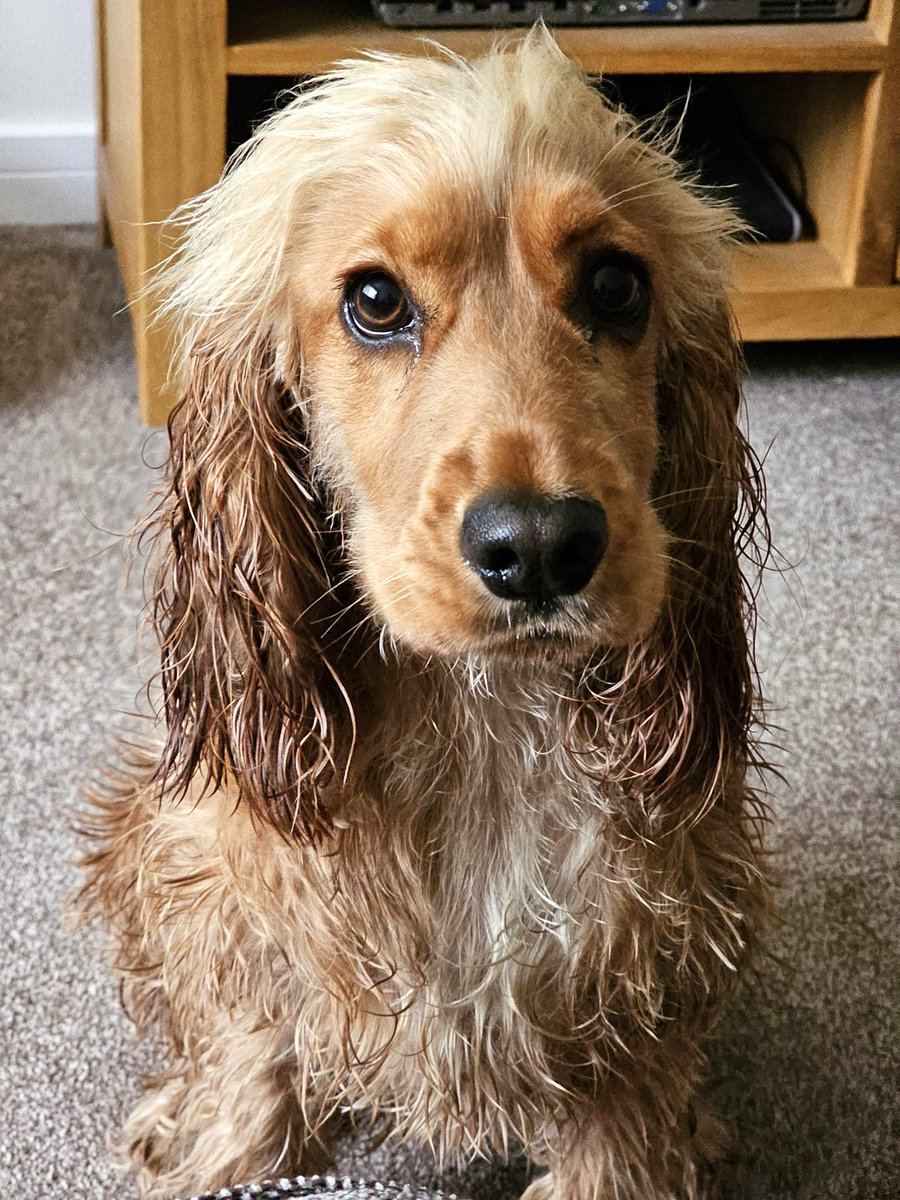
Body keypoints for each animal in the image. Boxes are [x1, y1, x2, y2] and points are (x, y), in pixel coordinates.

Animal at [79, 30, 777, 1200]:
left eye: (615, 285)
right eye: (375, 300)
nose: (539, 546)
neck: (483, 722)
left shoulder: (646, 973)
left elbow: (621, 1143)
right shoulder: (237, 902)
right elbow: (247, 1061)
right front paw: (219, 1149)